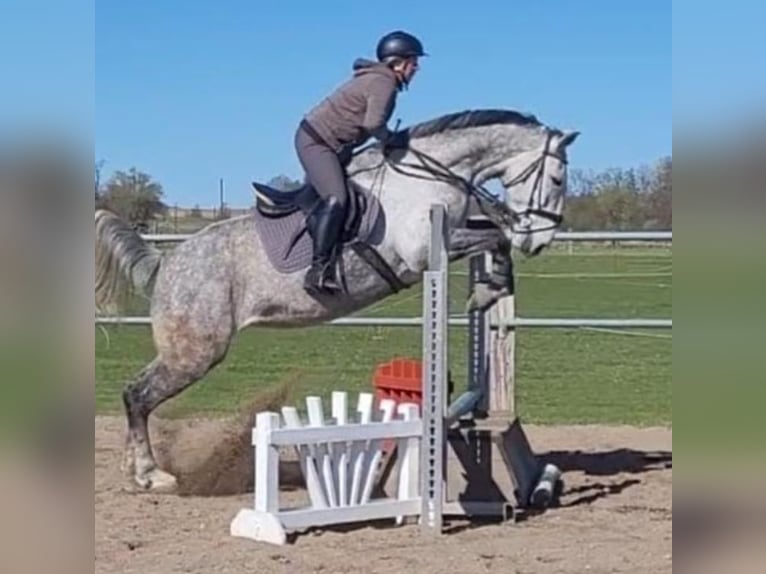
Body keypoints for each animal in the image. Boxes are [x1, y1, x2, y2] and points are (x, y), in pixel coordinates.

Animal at [95, 108, 579, 492]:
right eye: (557, 178)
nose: (539, 242)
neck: (431, 175)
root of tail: (166, 265)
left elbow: (494, 238)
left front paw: (489, 288)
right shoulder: (425, 251)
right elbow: (495, 234)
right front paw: (488, 288)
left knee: (135, 396)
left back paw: (134, 473)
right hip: (194, 352)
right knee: (137, 395)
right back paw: (150, 475)